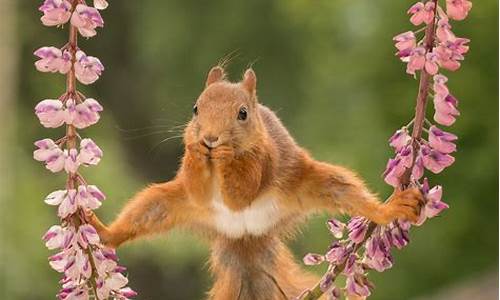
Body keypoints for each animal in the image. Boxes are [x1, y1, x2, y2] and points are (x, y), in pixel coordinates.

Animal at [87, 66, 422, 300]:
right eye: (195, 109)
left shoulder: (266, 159)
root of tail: (245, 237)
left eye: (243, 114)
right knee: (144, 213)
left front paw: (224, 156)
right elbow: (197, 189)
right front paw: (196, 150)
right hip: (163, 203)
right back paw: (103, 232)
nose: (210, 139)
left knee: (347, 192)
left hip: (313, 182)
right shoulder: (193, 191)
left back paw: (390, 209)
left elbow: (243, 192)